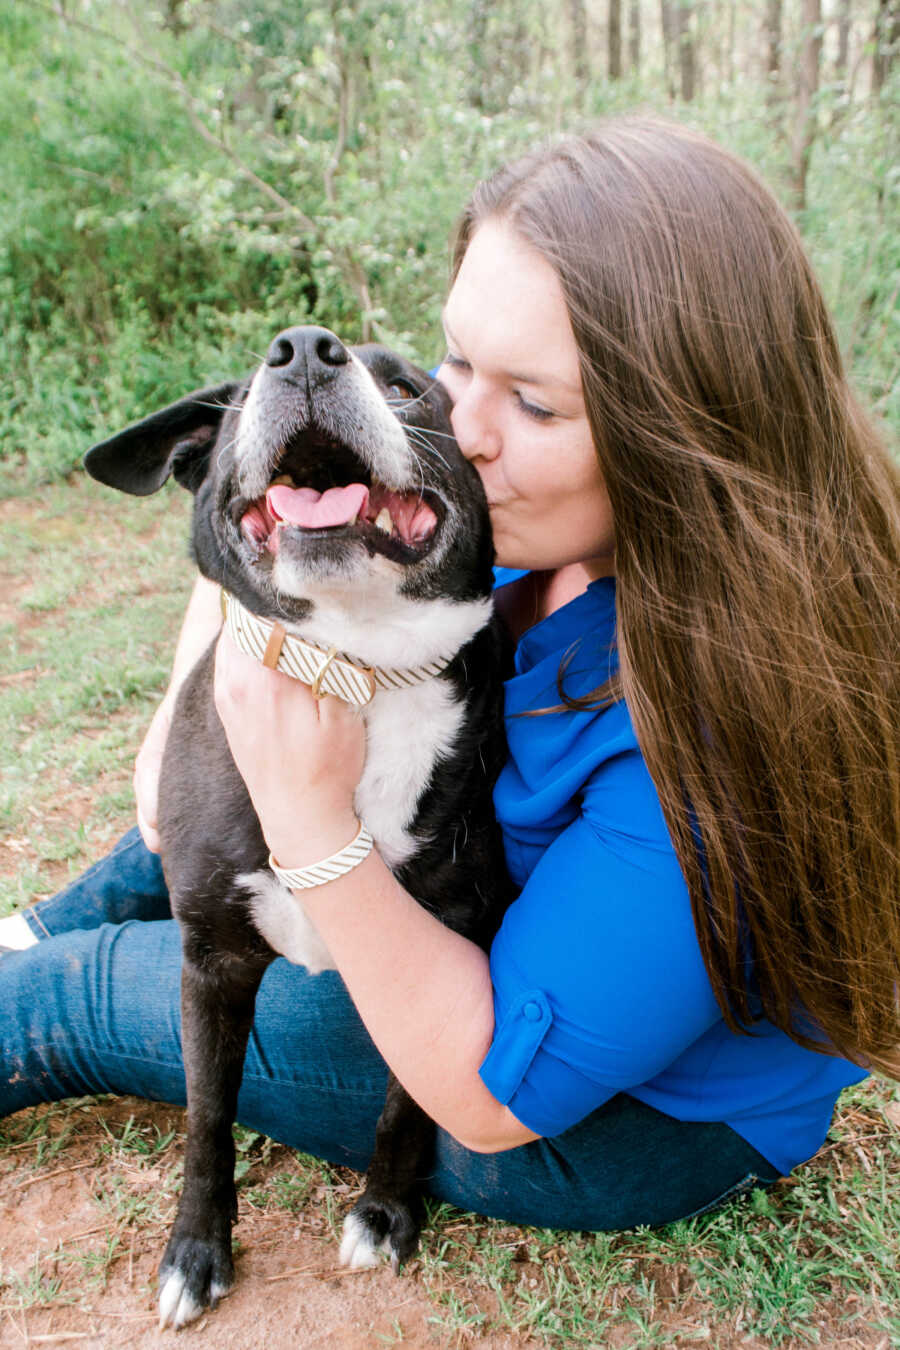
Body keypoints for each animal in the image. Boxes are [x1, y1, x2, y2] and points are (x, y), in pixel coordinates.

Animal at [84, 329, 512, 1328]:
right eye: (242, 396)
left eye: (408, 387)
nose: (307, 352)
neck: (355, 676)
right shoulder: (211, 962)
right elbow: (206, 1118)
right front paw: (195, 1251)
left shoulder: (454, 938)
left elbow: (406, 1099)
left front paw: (385, 1211)